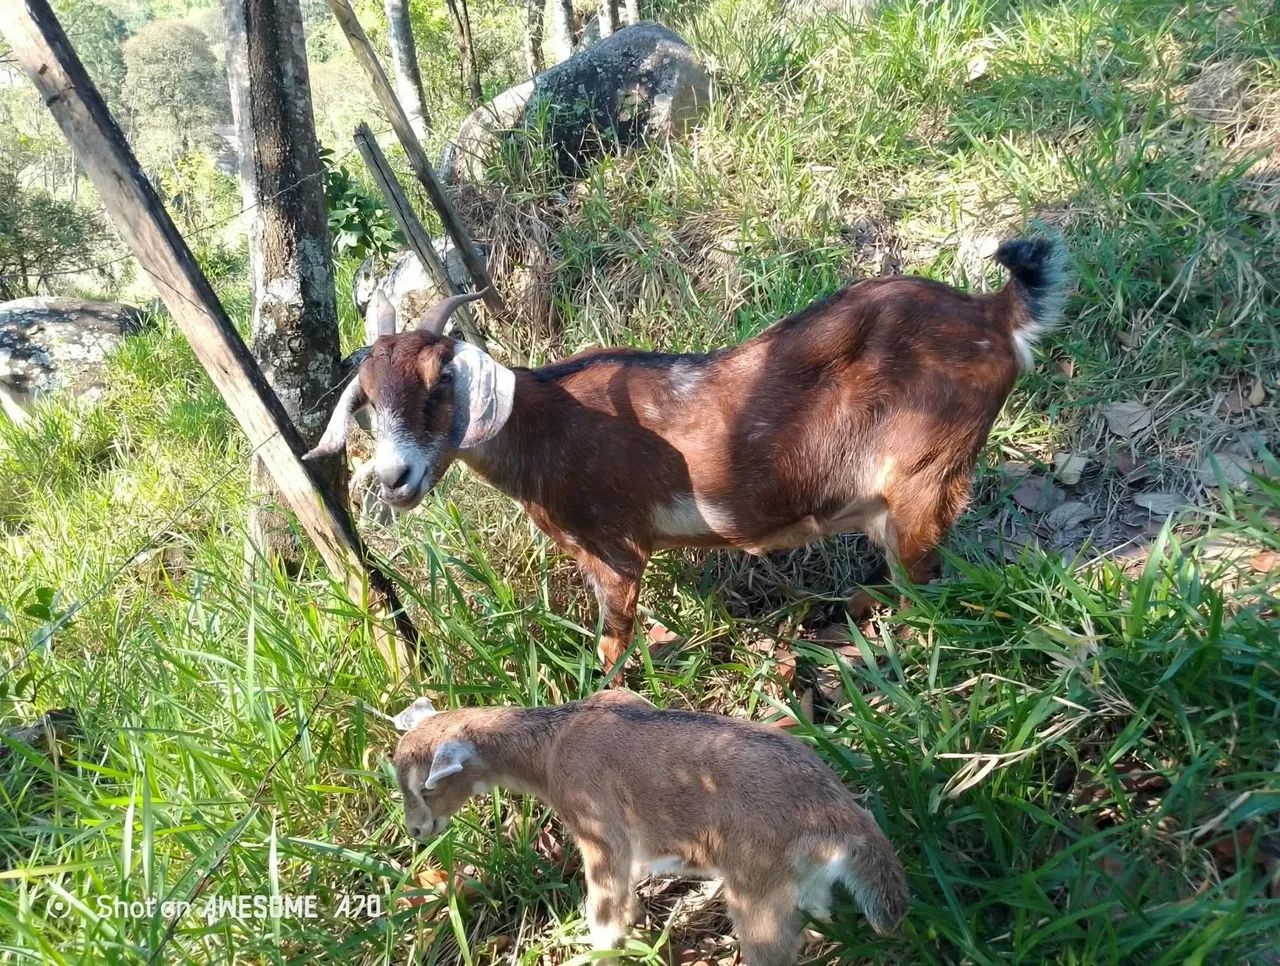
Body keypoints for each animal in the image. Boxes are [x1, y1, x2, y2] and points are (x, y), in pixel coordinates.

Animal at [308, 238, 1067, 668]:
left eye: (442, 378)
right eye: (365, 399)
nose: (394, 477)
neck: (548, 423)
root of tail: (994, 315)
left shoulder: (614, 548)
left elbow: (612, 642)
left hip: (924, 474)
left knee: (926, 583)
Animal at [392, 690, 908, 964]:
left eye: (425, 787)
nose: (415, 832)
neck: (551, 746)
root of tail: (839, 815)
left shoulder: (599, 830)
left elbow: (603, 906)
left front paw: (600, 948)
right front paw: (637, 921)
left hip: (757, 892)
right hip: (804, 885)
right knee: (818, 921)